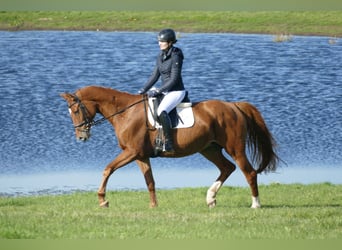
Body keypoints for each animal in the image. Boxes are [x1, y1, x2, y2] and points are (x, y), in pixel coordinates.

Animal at [60, 86, 278, 209]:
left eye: (76, 110)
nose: (81, 136)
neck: (125, 112)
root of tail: (233, 106)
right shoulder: (140, 156)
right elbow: (150, 181)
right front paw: (153, 206)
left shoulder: (131, 152)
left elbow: (108, 169)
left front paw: (102, 200)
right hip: (209, 149)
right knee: (227, 168)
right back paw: (210, 198)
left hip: (235, 149)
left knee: (249, 172)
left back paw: (255, 204)